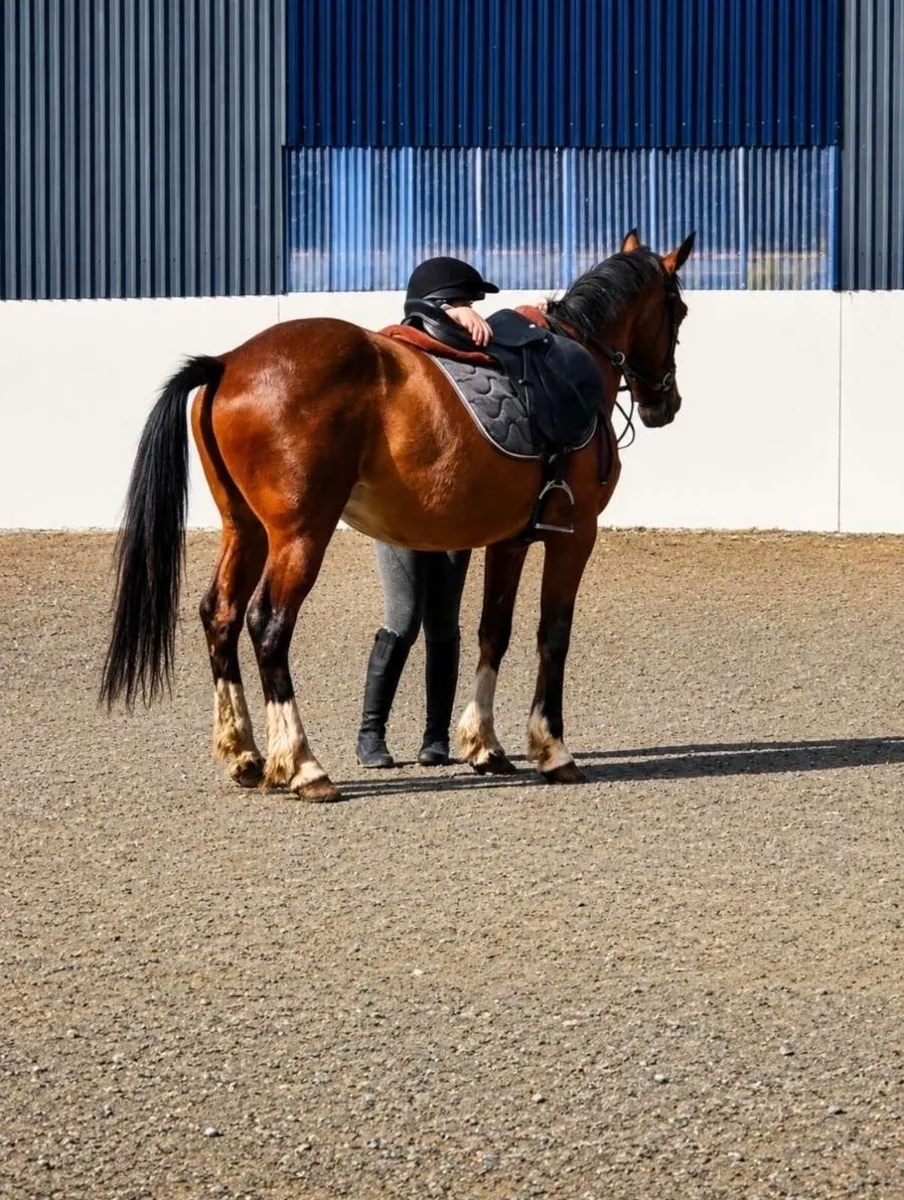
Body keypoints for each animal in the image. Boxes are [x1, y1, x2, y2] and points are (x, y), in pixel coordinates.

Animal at [100, 229, 694, 802]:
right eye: (680, 311)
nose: (666, 404)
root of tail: (228, 362)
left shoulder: (510, 539)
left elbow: (493, 631)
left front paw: (484, 745)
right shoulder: (574, 534)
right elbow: (554, 634)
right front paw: (553, 750)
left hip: (244, 530)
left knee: (219, 614)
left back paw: (244, 754)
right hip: (299, 535)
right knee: (268, 625)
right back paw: (304, 766)